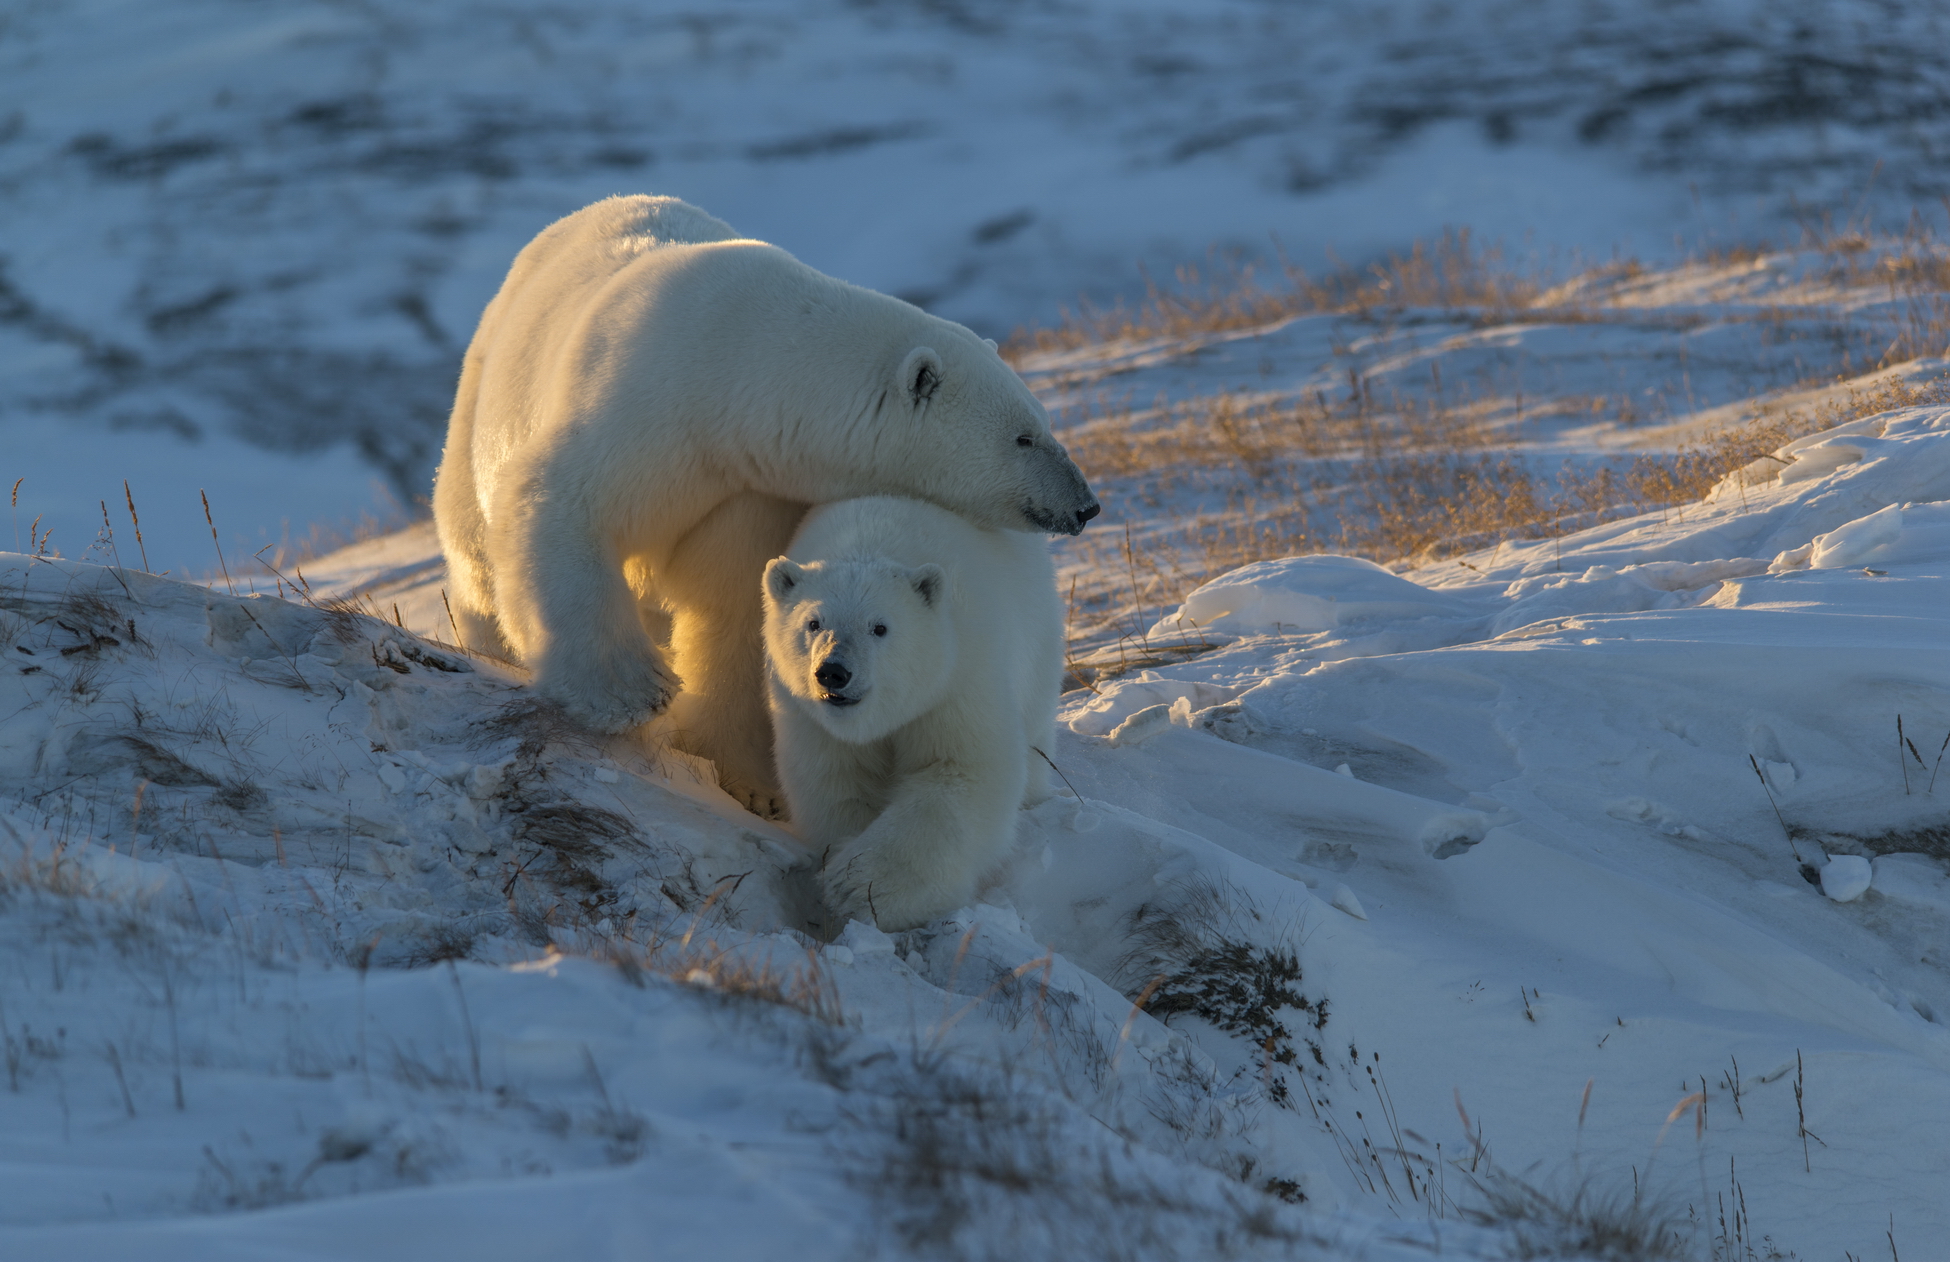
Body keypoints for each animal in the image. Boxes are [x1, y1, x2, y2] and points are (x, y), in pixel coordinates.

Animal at [430, 192, 1099, 815]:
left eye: (1042, 423)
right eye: (1024, 437)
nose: (1085, 505)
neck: (735, 363)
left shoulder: (748, 485)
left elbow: (730, 605)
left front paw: (751, 785)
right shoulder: (640, 411)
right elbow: (564, 504)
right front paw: (630, 693)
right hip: (478, 405)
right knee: (477, 554)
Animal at [764, 499, 1068, 932]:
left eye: (879, 627)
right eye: (813, 622)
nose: (834, 672)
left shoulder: (956, 678)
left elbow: (957, 770)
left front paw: (858, 888)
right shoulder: (808, 715)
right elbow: (836, 782)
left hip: (1037, 634)